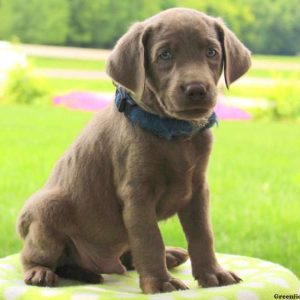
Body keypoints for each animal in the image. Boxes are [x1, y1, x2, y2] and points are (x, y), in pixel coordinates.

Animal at [16, 8, 251, 294]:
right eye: (164, 55)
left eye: (211, 52)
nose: (196, 90)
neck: (173, 132)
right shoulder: (137, 195)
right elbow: (150, 240)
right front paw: (160, 283)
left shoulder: (198, 190)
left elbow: (203, 235)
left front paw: (212, 274)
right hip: (48, 212)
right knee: (32, 256)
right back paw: (39, 271)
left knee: (128, 256)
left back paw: (170, 255)